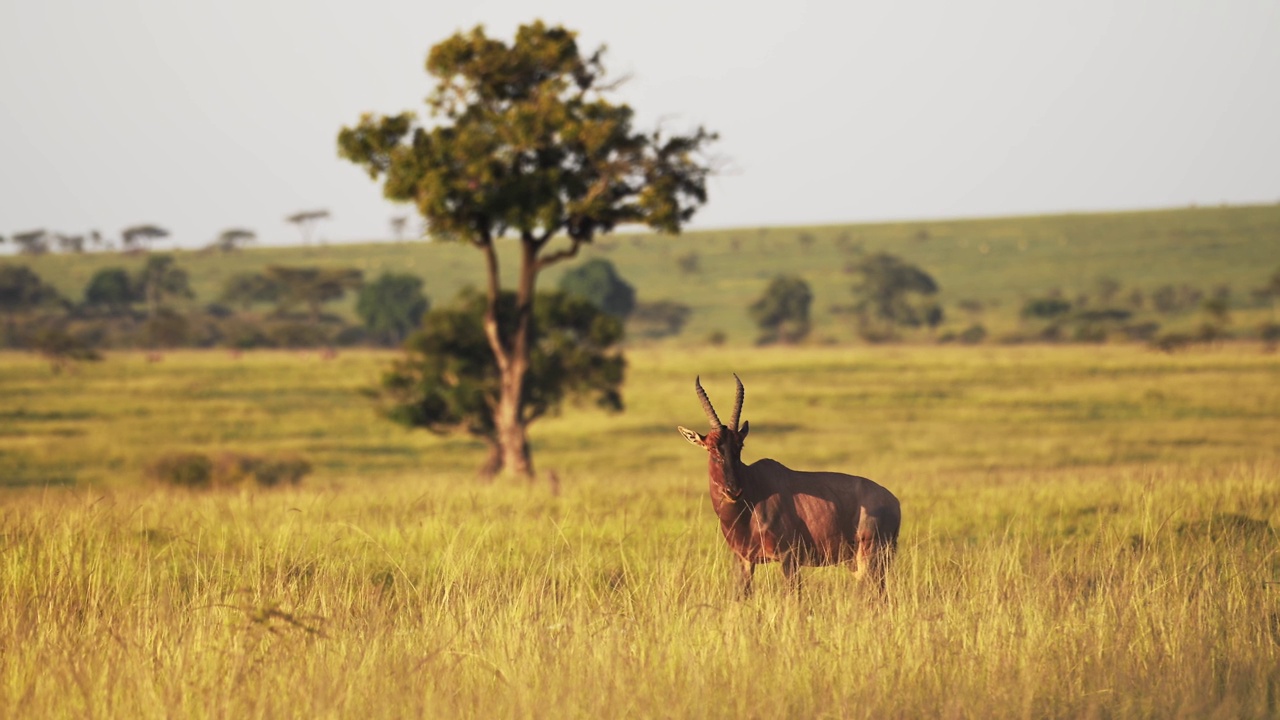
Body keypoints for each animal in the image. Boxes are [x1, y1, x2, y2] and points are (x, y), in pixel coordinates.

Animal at [680, 376, 901, 594]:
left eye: (740, 445)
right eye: (711, 447)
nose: (733, 491)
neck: (754, 489)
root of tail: (894, 502)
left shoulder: (788, 557)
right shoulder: (743, 559)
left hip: (871, 558)